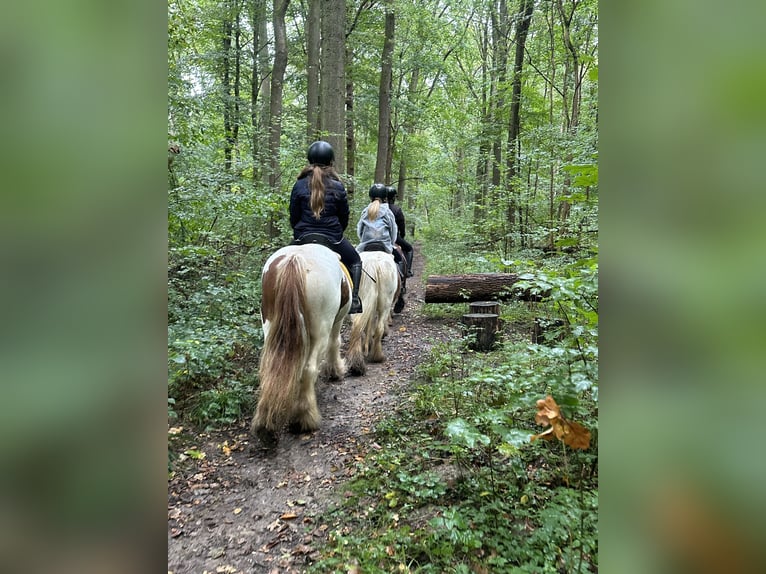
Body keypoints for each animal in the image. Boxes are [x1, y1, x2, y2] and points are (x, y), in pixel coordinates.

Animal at [254, 244, 352, 450]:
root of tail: (295, 259)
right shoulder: (336, 321)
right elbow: (335, 343)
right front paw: (335, 371)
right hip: (321, 327)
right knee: (308, 368)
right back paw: (304, 418)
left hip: (271, 326)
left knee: (271, 371)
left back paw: (266, 427)